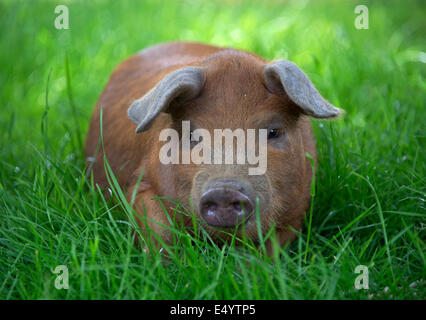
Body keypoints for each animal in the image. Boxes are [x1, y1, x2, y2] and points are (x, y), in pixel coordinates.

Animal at [85, 41, 342, 251]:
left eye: (273, 132)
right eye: (193, 135)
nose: (225, 190)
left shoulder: (299, 205)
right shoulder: (139, 183)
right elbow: (161, 229)